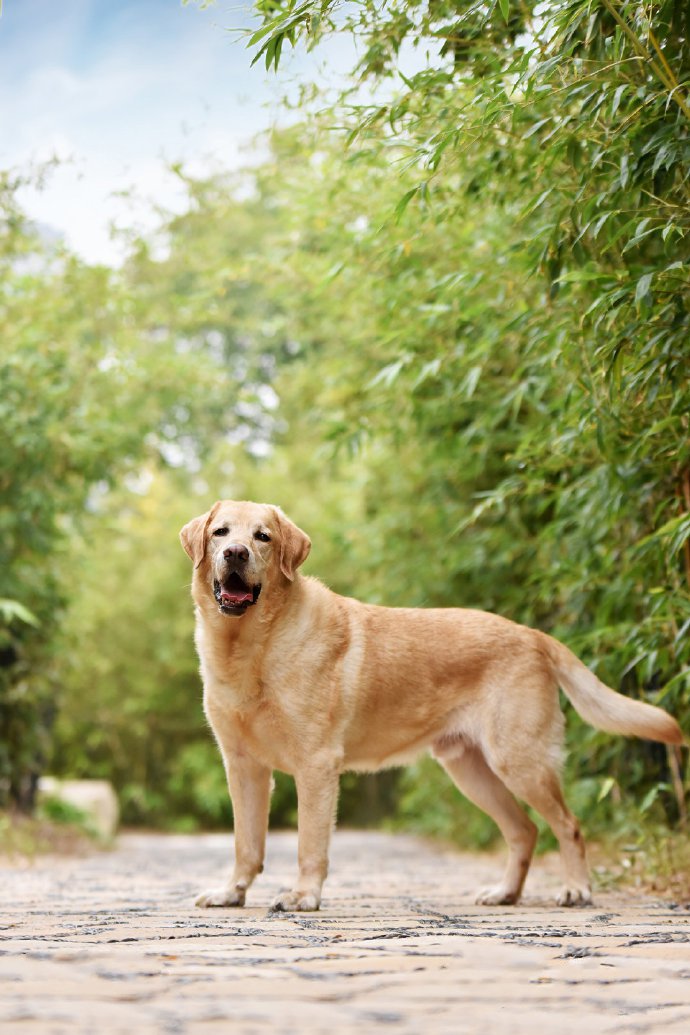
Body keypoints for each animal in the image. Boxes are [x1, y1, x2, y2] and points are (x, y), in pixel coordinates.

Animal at [181, 500, 682, 914]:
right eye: (221, 532)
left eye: (263, 536)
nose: (236, 554)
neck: (251, 646)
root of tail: (534, 635)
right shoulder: (243, 766)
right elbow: (246, 843)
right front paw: (232, 893)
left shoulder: (316, 765)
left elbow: (310, 844)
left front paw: (303, 896)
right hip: (471, 770)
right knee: (525, 830)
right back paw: (506, 893)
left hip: (520, 761)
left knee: (568, 826)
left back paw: (577, 890)